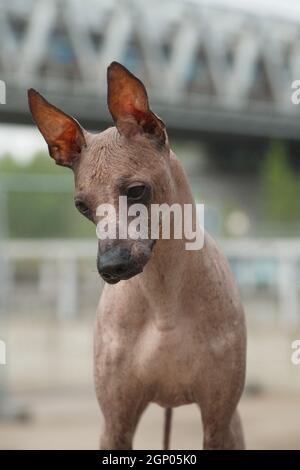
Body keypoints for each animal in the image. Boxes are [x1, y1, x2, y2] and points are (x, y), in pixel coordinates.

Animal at [27, 60, 246, 450]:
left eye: (137, 190)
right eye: (82, 207)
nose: (110, 266)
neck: (163, 299)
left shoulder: (218, 422)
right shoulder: (116, 423)